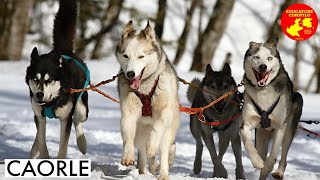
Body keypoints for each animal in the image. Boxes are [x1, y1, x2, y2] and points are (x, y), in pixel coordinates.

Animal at [25, 0, 88, 158]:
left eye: (49, 79)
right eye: (35, 79)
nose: (39, 94)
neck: (52, 101)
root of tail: (64, 51)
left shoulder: (65, 119)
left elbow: (63, 147)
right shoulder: (39, 116)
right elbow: (41, 140)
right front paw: (44, 156)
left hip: (82, 108)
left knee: (78, 120)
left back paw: (82, 143)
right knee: (37, 137)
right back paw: (33, 152)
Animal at [115, 20, 180, 179]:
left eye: (141, 57)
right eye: (125, 56)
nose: (130, 74)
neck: (145, 87)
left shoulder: (164, 114)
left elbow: (157, 128)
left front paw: (152, 145)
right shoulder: (128, 113)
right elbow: (128, 135)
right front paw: (127, 156)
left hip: (167, 133)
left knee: (163, 152)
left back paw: (163, 173)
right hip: (140, 133)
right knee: (143, 155)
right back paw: (144, 171)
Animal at [241, 37, 304, 179]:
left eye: (269, 58)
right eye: (256, 57)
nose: (263, 66)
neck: (263, 91)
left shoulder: (280, 126)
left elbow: (274, 153)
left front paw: (268, 166)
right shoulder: (246, 124)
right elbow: (248, 144)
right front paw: (257, 162)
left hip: (290, 126)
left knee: (284, 153)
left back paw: (279, 172)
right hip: (261, 136)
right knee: (261, 151)